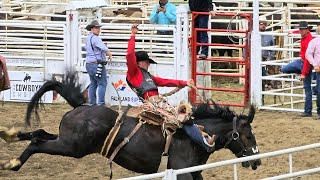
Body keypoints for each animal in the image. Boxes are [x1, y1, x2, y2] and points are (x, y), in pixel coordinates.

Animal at [0, 71, 262, 179]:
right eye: (249, 136)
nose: (257, 161)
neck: (197, 136)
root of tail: (81, 106)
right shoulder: (182, 172)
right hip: (71, 147)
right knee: (37, 142)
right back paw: (13, 162)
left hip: (67, 141)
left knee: (39, 133)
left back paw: (9, 135)